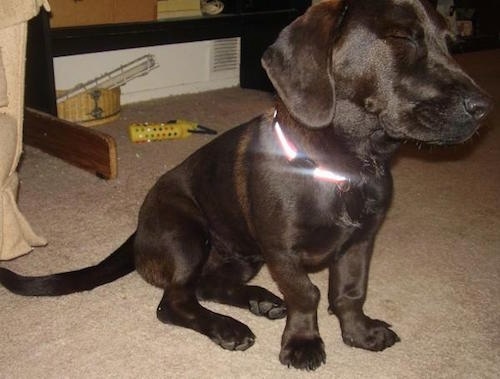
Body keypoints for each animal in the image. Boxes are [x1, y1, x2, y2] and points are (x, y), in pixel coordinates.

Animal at [0, 0, 492, 372]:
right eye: (401, 37)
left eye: (451, 42)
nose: (484, 107)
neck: (347, 162)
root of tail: (138, 232)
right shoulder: (281, 249)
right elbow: (307, 294)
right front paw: (303, 344)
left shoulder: (359, 243)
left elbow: (349, 292)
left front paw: (360, 333)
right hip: (188, 234)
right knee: (173, 302)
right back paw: (228, 327)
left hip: (242, 254)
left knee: (209, 285)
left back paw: (258, 300)